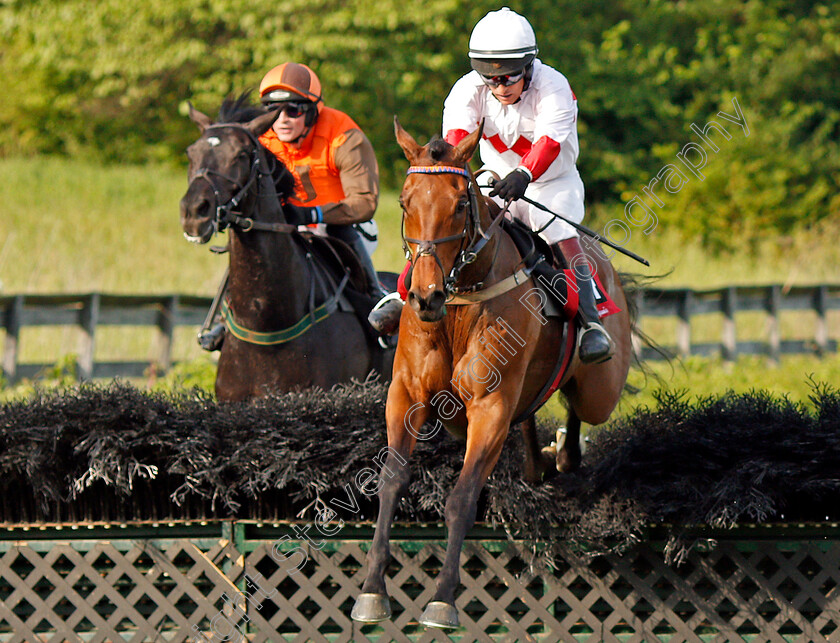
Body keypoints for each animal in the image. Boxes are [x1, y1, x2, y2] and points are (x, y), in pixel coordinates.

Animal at [352, 119, 632, 628]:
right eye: (404, 202)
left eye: (460, 205)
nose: (425, 297)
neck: (459, 305)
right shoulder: (406, 395)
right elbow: (391, 480)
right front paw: (371, 590)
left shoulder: (489, 407)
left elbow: (462, 497)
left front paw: (442, 599)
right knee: (533, 425)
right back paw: (545, 457)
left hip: (599, 391)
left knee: (579, 409)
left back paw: (567, 443)